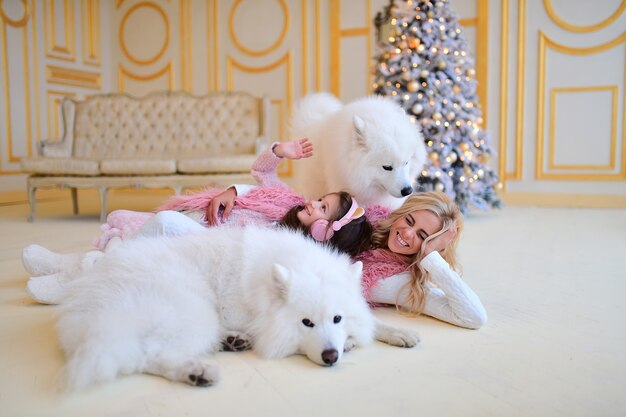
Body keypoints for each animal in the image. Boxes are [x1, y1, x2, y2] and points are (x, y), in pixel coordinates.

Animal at [56, 226, 416, 388]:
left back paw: (231, 341)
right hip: (195, 310)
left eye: (337, 318)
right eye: (306, 323)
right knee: (147, 355)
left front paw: (397, 332)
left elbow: (374, 322)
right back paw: (196, 371)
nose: (331, 356)